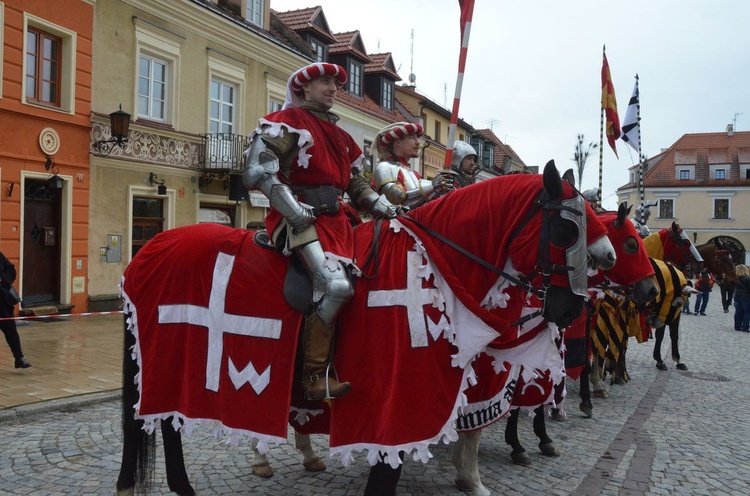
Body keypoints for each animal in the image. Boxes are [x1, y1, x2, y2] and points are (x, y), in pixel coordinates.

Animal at [113, 163, 616, 496]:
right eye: (567, 229)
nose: (572, 306)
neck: (435, 265)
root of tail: (147, 250)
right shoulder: (395, 408)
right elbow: (389, 471)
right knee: (165, 426)